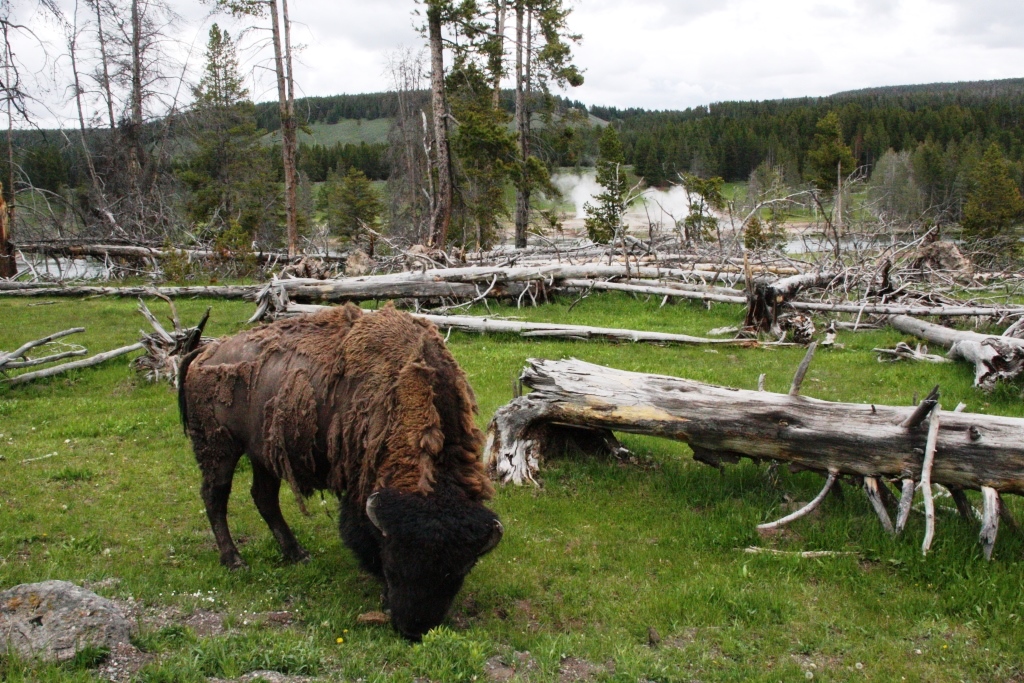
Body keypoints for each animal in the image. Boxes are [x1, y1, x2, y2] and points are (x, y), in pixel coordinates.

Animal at [181, 305, 507, 643]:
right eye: (393, 563)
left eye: (460, 572)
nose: (413, 629)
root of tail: (205, 353)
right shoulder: (358, 487)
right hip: (219, 448)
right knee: (215, 497)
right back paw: (235, 561)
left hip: (263, 453)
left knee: (264, 498)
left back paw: (297, 553)